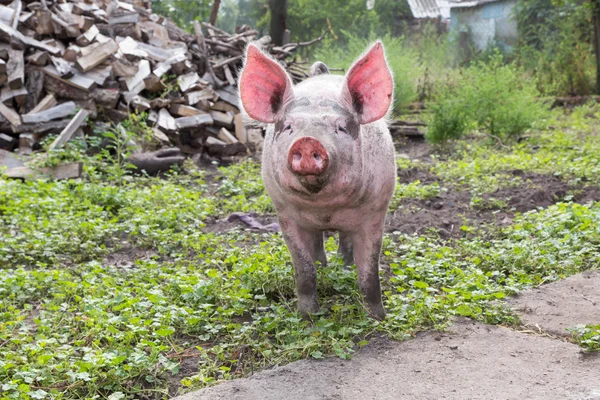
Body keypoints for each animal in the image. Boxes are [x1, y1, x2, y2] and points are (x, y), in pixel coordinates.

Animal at [239, 42, 398, 320]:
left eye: (341, 128)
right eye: (289, 127)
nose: (307, 141)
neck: (325, 208)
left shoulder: (375, 214)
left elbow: (369, 273)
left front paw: (378, 318)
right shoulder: (286, 215)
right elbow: (304, 271)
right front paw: (308, 317)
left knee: (344, 241)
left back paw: (343, 268)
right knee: (318, 243)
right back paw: (324, 267)